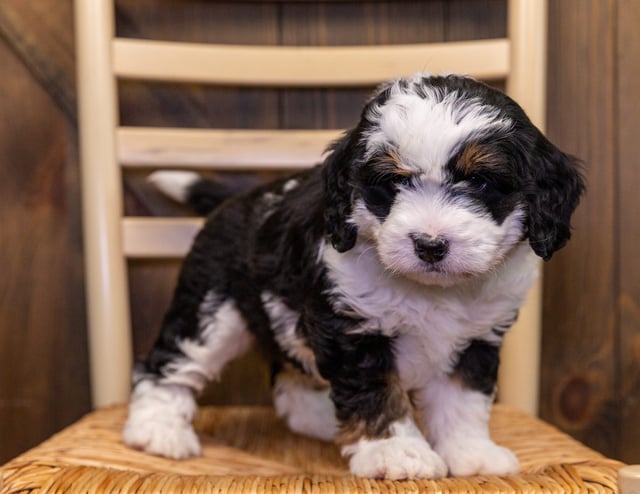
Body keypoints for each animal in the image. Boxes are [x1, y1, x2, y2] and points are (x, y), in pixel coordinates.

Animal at [121, 73, 584, 478]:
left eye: (483, 182)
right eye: (392, 184)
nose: (430, 244)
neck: (432, 290)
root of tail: (238, 199)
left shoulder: (478, 337)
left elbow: (463, 399)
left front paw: (471, 453)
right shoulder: (352, 327)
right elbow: (375, 393)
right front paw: (397, 453)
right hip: (213, 305)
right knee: (170, 361)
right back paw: (157, 430)